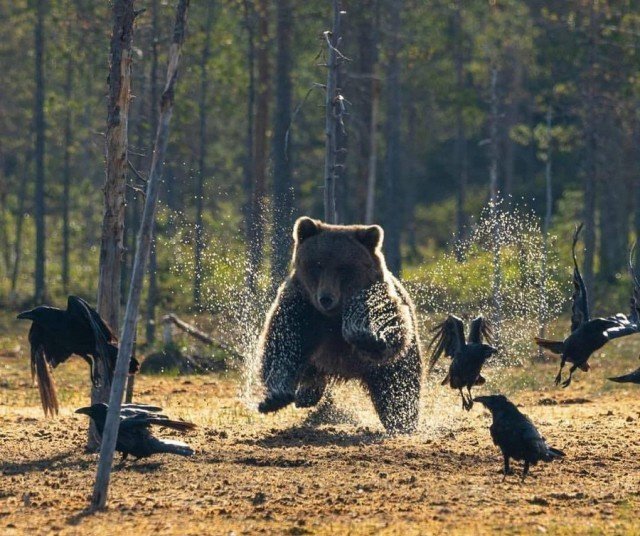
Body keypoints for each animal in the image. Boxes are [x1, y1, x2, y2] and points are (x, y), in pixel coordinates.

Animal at [258, 216, 422, 434]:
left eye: (344, 267)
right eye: (318, 265)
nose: (326, 298)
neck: (332, 316)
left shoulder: (374, 296)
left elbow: (387, 322)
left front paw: (366, 337)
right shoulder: (303, 308)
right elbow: (283, 345)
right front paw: (273, 398)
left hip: (389, 367)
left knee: (398, 388)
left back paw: (403, 421)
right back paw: (305, 396)